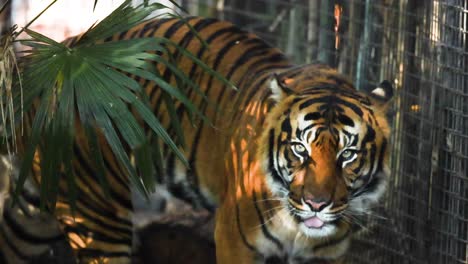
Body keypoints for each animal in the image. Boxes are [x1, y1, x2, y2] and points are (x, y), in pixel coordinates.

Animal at [1, 17, 394, 264]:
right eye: (300, 149)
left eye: (348, 154)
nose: (316, 204)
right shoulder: (236, 239)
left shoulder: (329, 255)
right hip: (97, 212)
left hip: (38, 207)